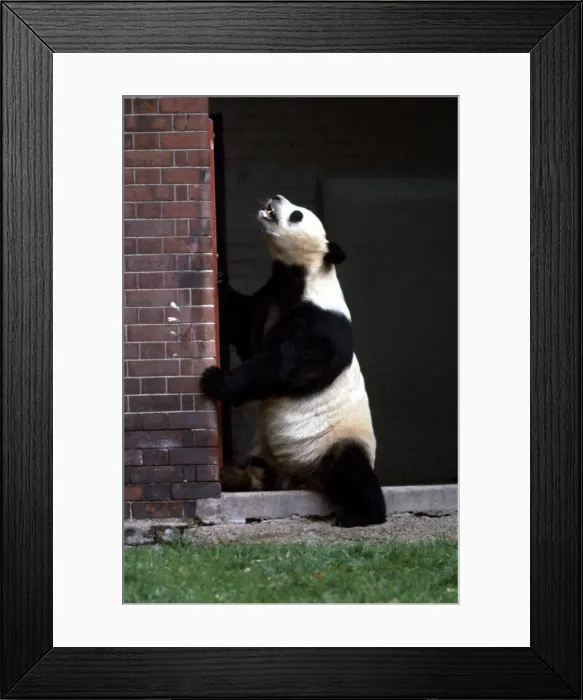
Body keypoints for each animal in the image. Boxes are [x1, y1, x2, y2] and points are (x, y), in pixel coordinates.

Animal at [200, 194, 386, 527]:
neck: (302, 276)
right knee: (256, 467)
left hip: (335, 441)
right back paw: (240, 476)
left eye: (298, 214)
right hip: (267, 452)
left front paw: (215, 379)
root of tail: (299, 478)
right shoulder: (268, 300)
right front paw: (218, 273)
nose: (275, 197)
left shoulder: (321, 322)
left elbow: (282, 366)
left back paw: (359, 514)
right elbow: (242, 325)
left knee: (351, 470)